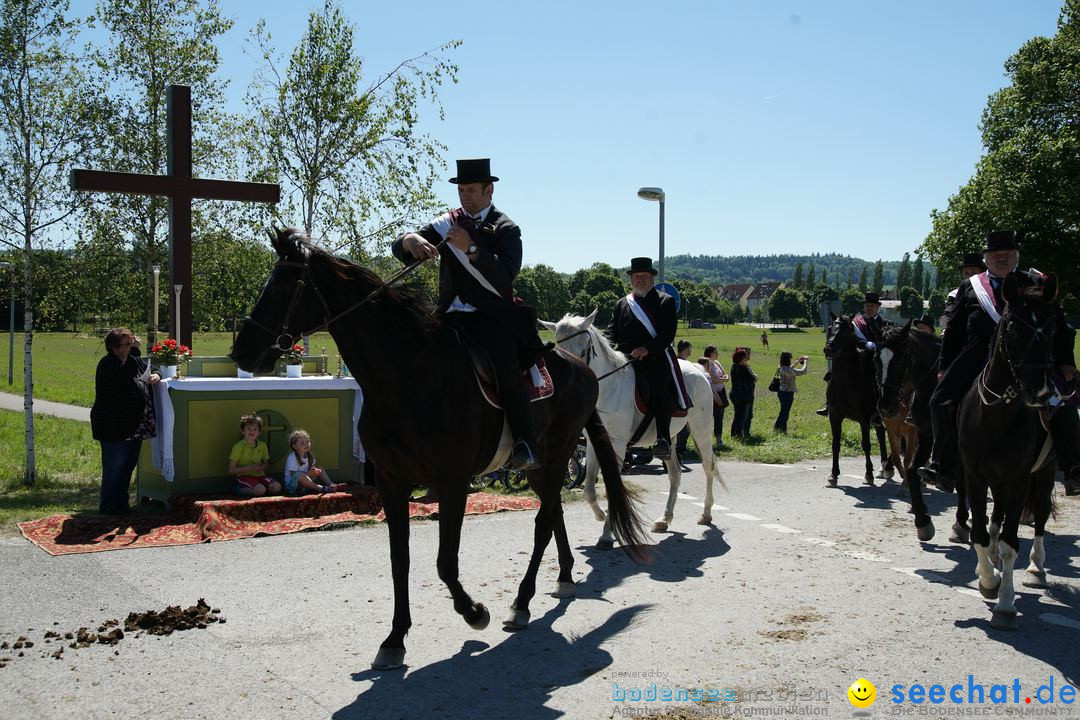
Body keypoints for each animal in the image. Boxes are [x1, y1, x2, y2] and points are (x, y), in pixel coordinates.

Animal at [230, 229, 648, 669]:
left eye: (282, 284)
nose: (241, 352)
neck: (409, 375)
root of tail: (585, 369)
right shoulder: (391, 481)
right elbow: (400, 559)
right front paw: (394, 638)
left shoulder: (453, 481)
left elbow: (446, 561)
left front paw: (475, 612)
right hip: (539, 467)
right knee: (553, 515)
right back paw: (564, 576)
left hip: (555, 455)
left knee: (541, 524)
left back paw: (520, 603)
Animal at [540, 310, 725, 546]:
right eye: (558, 353)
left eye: (583, 350)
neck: (608, 388)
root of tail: (698, 368)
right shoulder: (594, 442)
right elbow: (589, 489)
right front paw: (601, 516)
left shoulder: (618, 445)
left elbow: (611, 488)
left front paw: (607, 533)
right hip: (669, 437)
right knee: (675, 474)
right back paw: (664, 519)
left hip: (701, 430)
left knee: (708, 467)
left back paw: (706, 513)